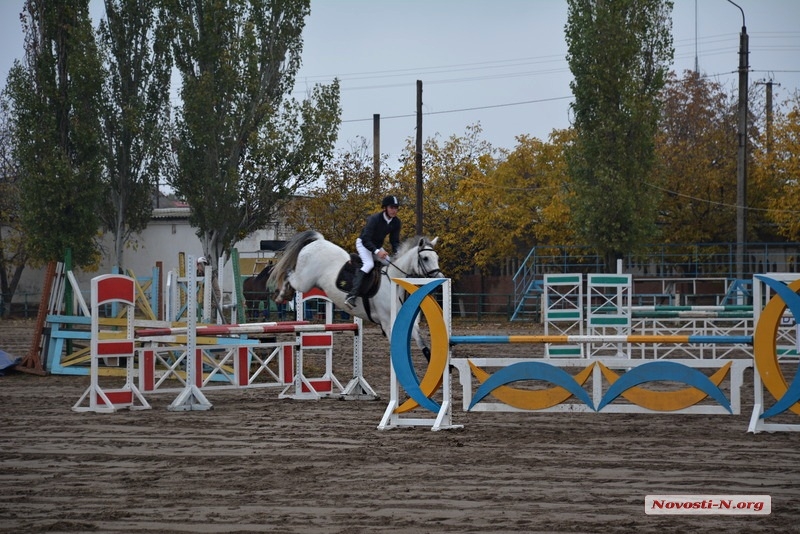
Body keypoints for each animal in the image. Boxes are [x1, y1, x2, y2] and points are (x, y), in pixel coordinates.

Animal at [268, 229, 444, 356]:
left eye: (437, 258)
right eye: (426, 258)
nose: (440, 278)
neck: (393, 283)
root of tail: (319, 241)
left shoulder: (410, 324)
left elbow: (424, 346)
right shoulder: (387, 324)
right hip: (304, 282)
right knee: (289, 274)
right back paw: (282, 295)